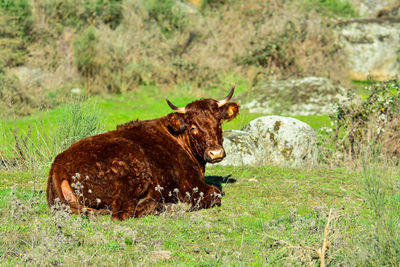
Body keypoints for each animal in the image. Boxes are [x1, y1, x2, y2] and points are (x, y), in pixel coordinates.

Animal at [47, 87, 241, 221]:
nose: (215, 153)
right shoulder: (191, 185)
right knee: (122, 213)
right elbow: (215, 193)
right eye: (193, 127)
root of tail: (58, 164)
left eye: (220, 123)